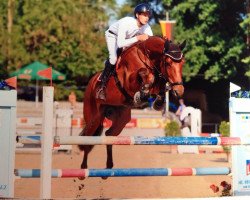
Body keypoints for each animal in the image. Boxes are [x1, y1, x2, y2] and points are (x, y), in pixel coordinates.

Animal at [78, 35, 186, 169]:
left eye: (183, 63)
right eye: (168, 63)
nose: (179, 90)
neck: (146, 57)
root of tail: (91, 82)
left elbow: (159, 84)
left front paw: (158, 102)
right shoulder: (129, 83)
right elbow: (144, 73)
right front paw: (142, 94)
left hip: (121, 118)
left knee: (109, 134)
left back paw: (109, 166)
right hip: (94, 117)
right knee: (88, 137)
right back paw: (83, 168)